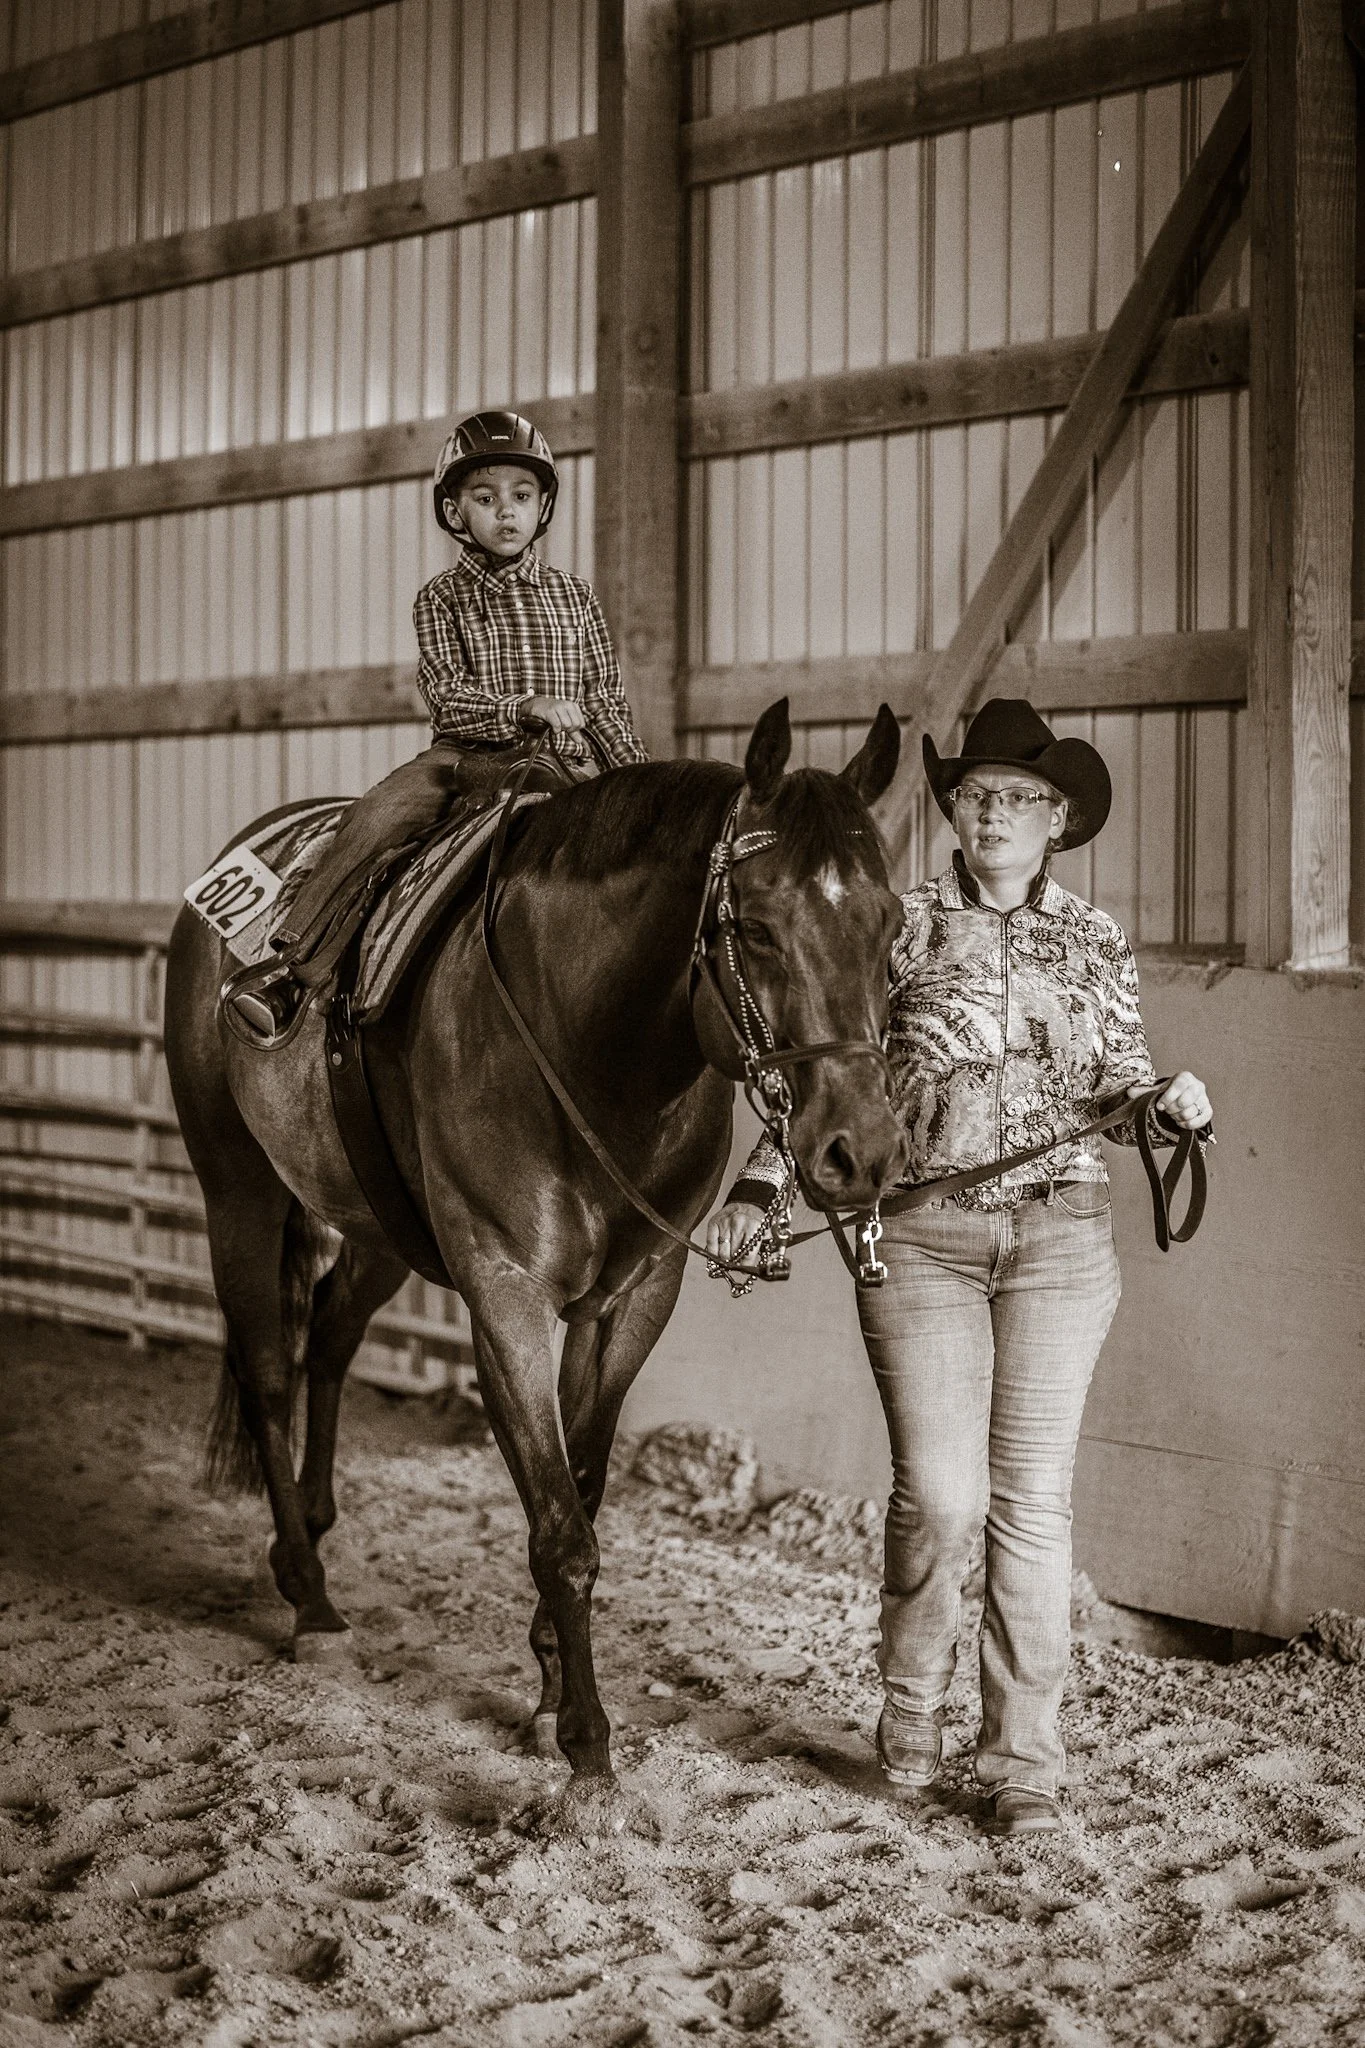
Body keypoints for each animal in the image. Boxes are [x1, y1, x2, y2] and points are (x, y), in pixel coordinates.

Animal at [163, 698, 909, 1812]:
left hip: (381, 1227)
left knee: (329, 1339)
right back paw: (308, 1593)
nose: (857, 1150)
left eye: (891, 922)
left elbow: (583, 1488)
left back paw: (322, 1526)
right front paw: (586, 1738)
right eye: (757, 926)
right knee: (267, 1369)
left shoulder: (632, 1299)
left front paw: (552, 1673)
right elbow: (561, 1524)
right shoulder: (505, 1295)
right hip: (237, 1189)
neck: (591, 1047)